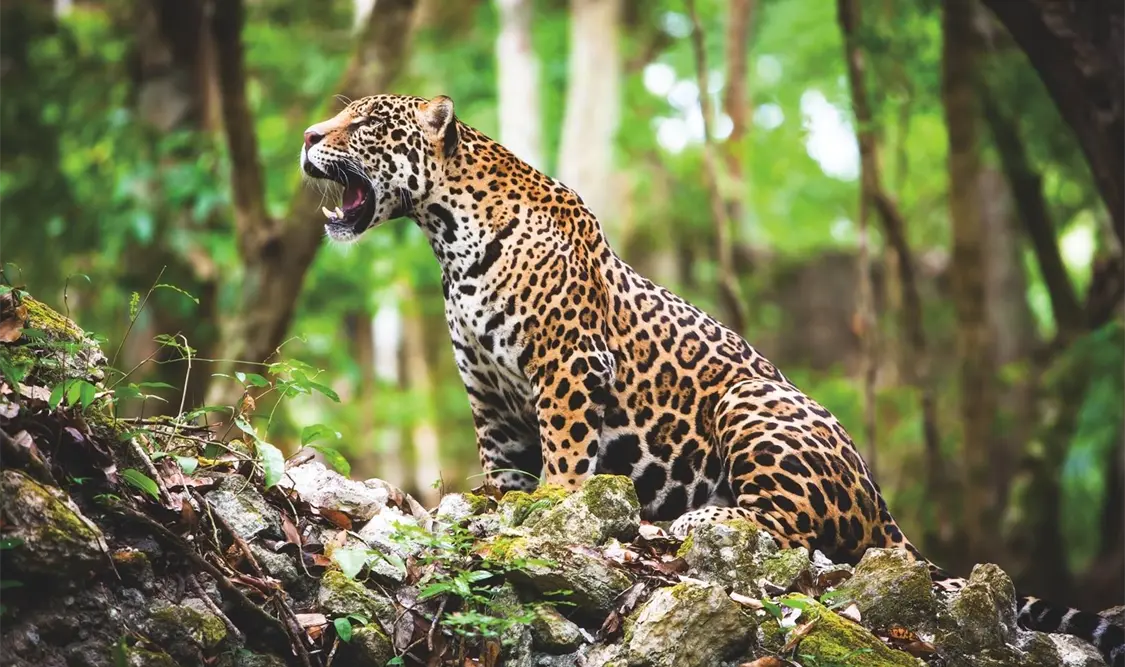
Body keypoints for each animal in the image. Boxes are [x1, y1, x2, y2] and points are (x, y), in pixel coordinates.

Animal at [300, 93, 1124, 666]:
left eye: (364, 122)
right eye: (339, 116)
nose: (309, 136)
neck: (447, 235)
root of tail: (885, 510)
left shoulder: (564, 365)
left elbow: (564, 457)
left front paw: (552, 510)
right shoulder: (488, 393)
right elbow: (501, 471)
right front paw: (496, 508)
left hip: (753, 404)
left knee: (796, 537)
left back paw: (693, 521)